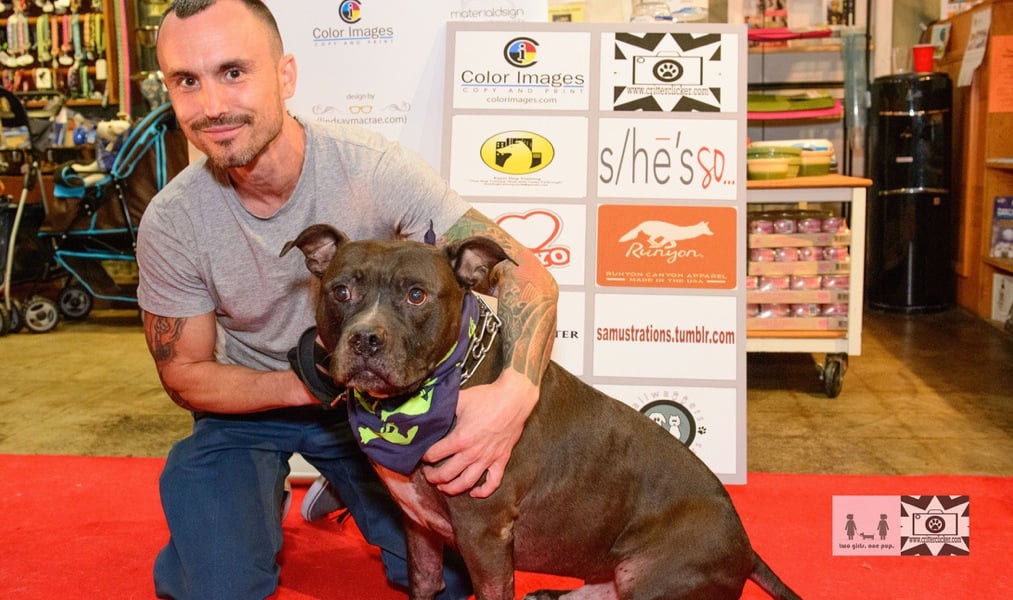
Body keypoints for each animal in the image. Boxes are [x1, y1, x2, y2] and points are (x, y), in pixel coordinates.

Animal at [279, 225, 798, 600]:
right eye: (341, 291)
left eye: (416, 295)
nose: (366, 339)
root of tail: (746, 547)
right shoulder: (420, 532)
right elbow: (425, 582)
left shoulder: (485, 538)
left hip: (652, 581)